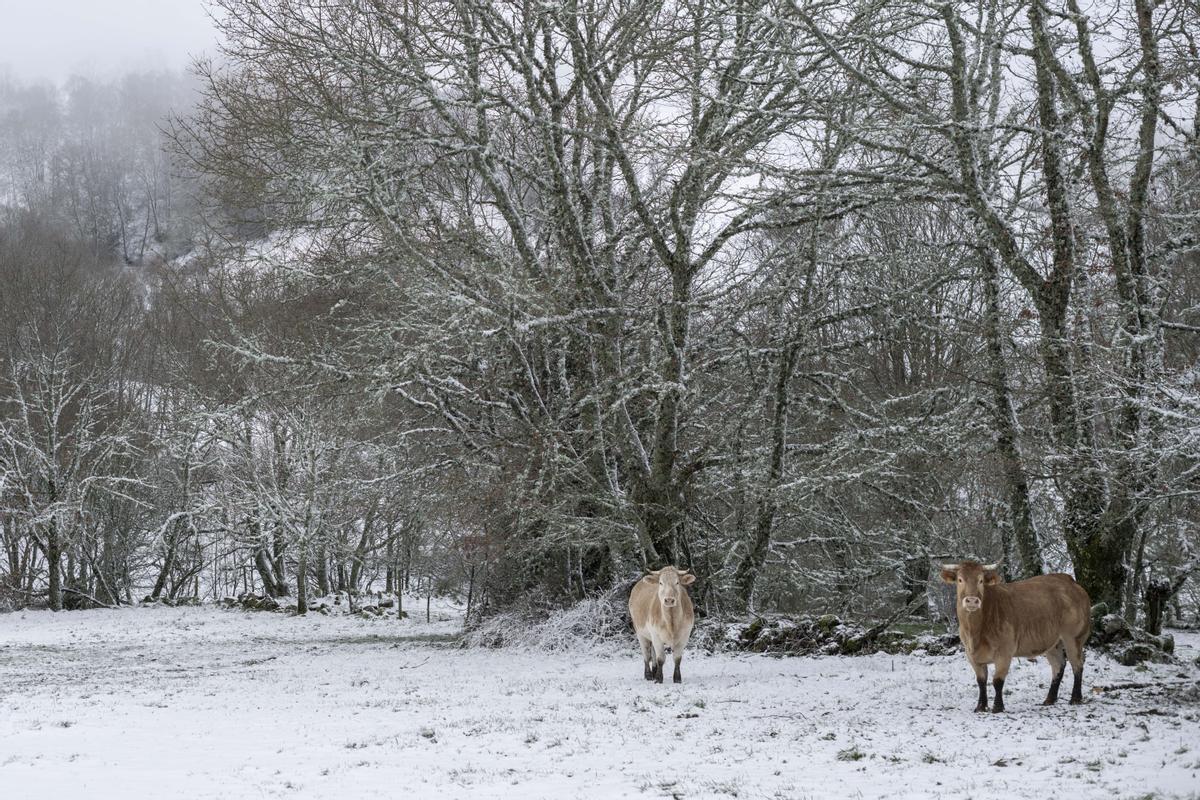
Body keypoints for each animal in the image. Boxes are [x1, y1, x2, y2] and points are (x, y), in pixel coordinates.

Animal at [940, 563, 1094, 714]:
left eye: (981, 580)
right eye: (960, 580)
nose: (972, 601)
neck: (975, 632)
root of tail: (1070, 581)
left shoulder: (1004, 652)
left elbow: (997, 681)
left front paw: (998, 707)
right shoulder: (971, 655)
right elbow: (981, 681)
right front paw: (980, 707)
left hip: (1074, 638)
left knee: (1077, 665)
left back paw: (1075, 698)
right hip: (1052, 642)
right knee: (1058, 666)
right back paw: (1049, 699)